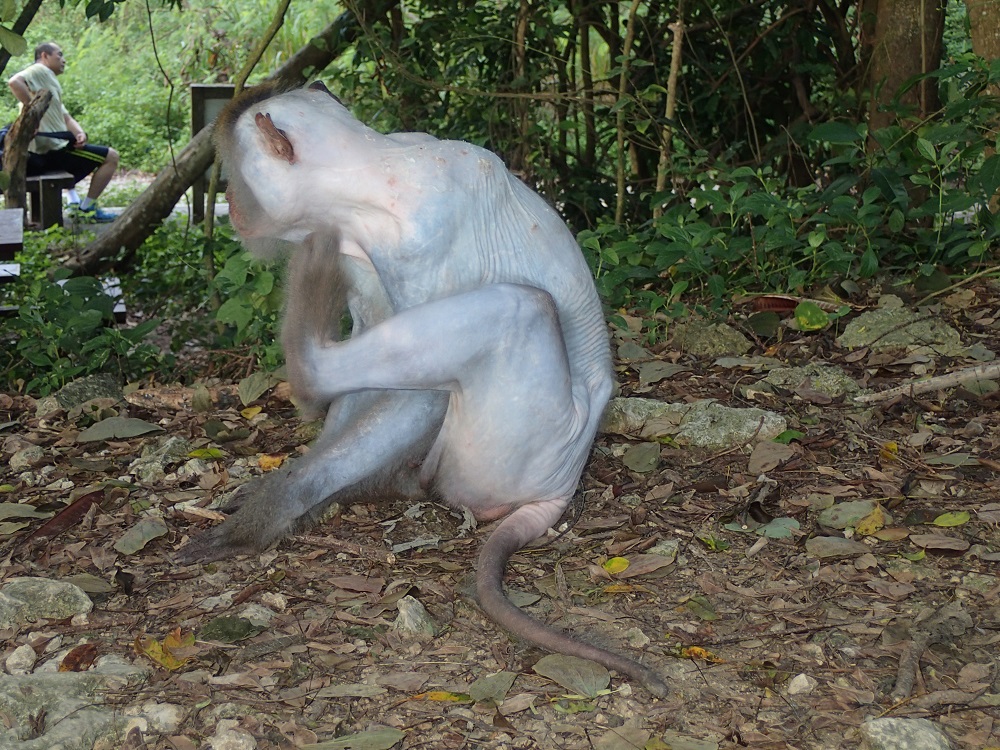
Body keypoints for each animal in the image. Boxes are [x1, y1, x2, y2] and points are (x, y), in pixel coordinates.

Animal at [180, 82, 668, 700]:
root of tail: (562, 485)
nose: (231, 205)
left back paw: (309, 372)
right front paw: (297, 498)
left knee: (521, 308)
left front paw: (269, 515)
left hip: (503, 452)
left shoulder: (416, 242)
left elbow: (423, 394)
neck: (376, 170)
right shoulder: (355, 252)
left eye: (234, 176)